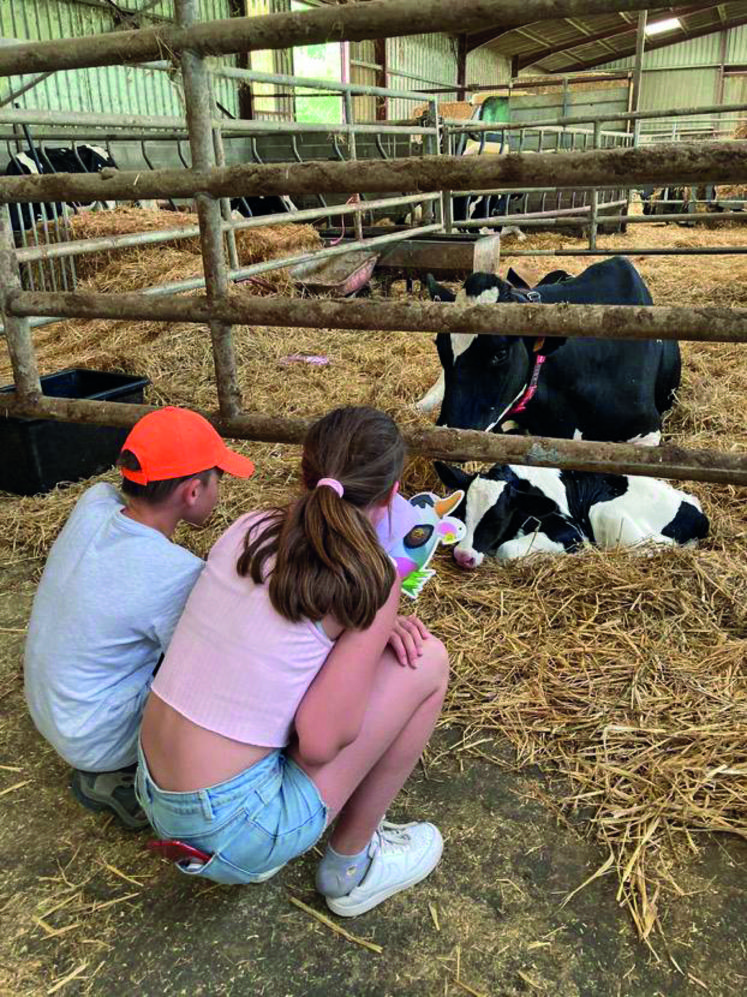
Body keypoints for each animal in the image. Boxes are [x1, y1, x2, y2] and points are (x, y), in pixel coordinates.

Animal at [432, 462, 708, 568]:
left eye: (496, 519)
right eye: (462, 514)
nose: (463, 555)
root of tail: (699, 514)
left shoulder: (573, 532)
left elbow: (506, 549)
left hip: (605, 512)